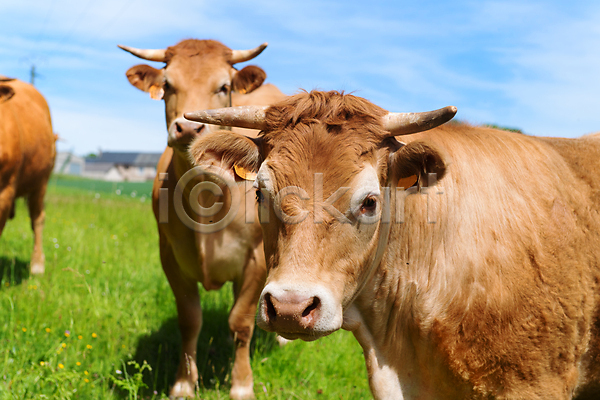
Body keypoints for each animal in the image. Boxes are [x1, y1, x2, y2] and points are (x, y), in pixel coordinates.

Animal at [119, 39, 286, 399]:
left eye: (223, 87)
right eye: (168, 85)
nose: (188, 127)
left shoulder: (256, 259)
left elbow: (241, 322)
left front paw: (241, 384)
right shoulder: (170, 256)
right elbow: (190, 320)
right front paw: (184, 382)